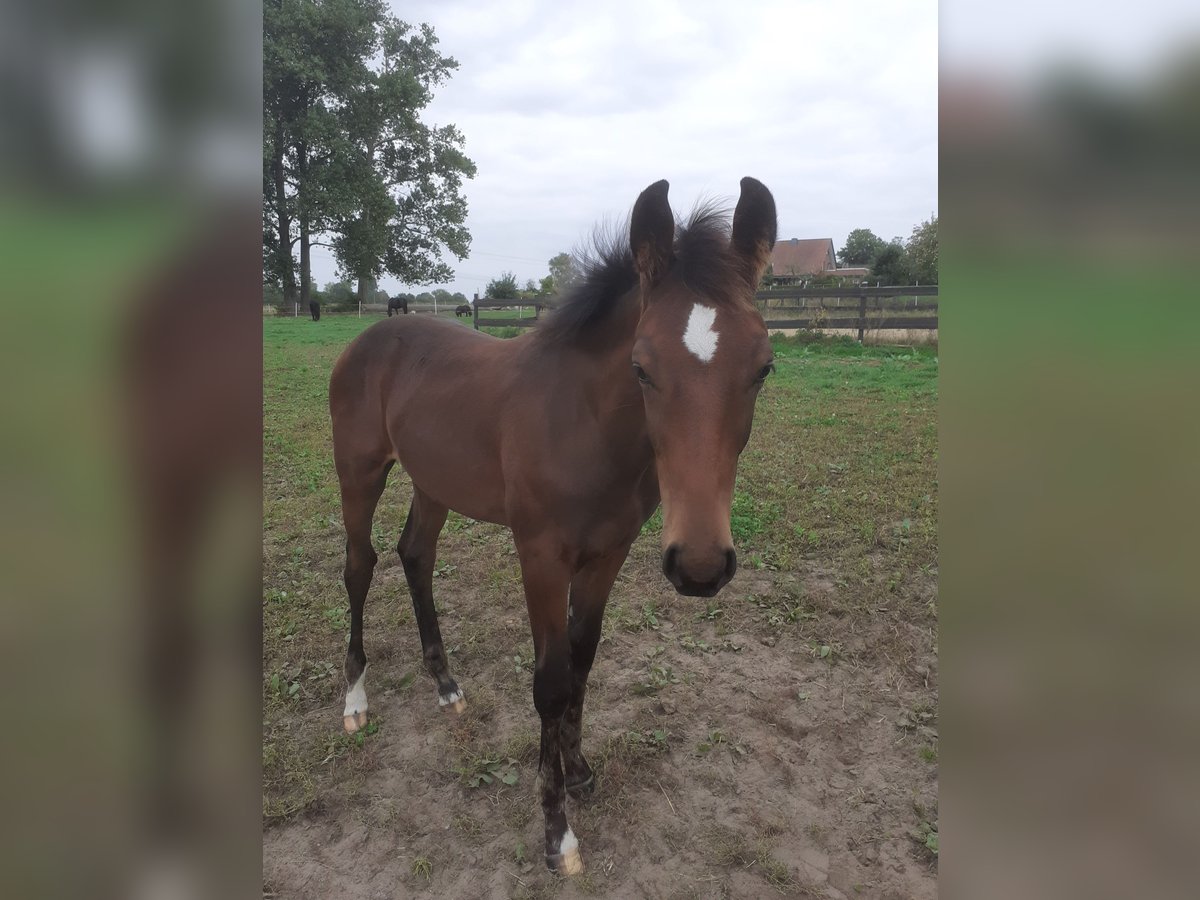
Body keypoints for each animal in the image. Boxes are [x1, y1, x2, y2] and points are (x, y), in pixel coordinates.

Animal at [328, 180, 777, 878]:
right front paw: (557, 833)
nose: (701, 565)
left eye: (763, 367)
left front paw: (581, 771)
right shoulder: (540, 557)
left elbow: (582, 662)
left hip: (434, 483)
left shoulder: (607, 554)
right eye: (641, 367)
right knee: (360, 565)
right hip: (360, 473)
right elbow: (550, 681)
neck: (583, 424)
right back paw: (355, 701)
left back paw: (447, 686)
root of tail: (370, 336)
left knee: (415, 555)